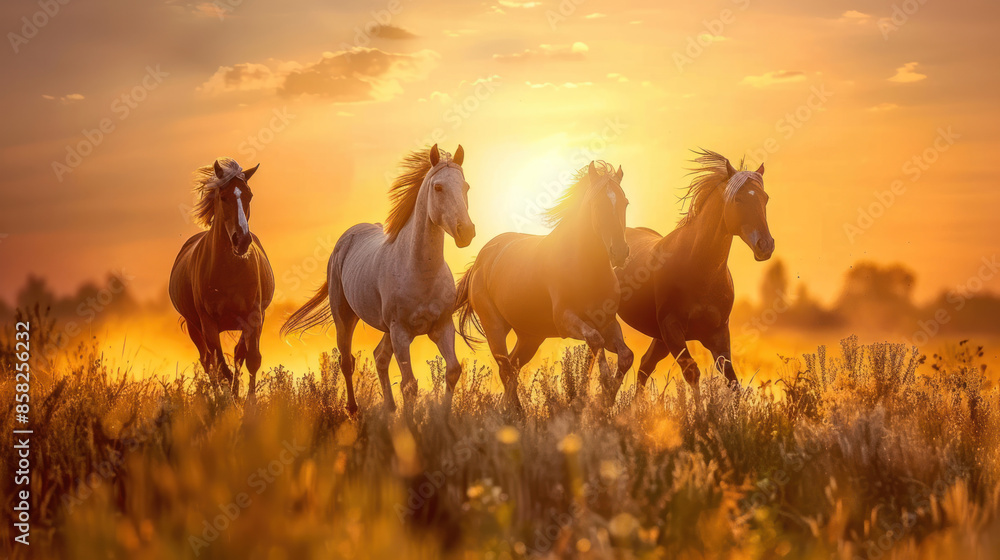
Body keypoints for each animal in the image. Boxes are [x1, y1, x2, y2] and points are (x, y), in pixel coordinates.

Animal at [169, 157, 275, 398]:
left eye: (249, 195)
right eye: (223, 196)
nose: (242, 240)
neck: (229, 270)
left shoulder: (254, 316)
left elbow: (250, 359)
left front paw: (248, 402)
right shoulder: (208, 323)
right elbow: (220, 366)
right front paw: (228, 400)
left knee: (235, 355)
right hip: (194, 327)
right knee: (208, 362)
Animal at [280, 145, 475, 413]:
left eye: (466, 187)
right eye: (438, 187)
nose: (466, 232)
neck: (421, 271)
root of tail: (348, 236)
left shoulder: (442, 327)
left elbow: (453, 370)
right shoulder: (400, 332)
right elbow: (409, 384)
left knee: (379, 358)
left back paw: (390, 408)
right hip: (345, 317)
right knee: (347, 360)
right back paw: (353, 410)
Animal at [455, 161, 634, 411]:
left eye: (625, 203)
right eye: (596, 204)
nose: (619, 252)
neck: (587, 269)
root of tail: (481, 259)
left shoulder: (607, 323)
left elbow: (626, 356)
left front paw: (604, 401)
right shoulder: (566, 321)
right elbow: (595, 342)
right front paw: (597, 391)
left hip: (530, 337)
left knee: (513, 367)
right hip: (495, 327)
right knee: (505, 369)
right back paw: (515, 413)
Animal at [615, 149, 774, 396]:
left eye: (764, 198)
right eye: (737, 199)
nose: (765, 245)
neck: (700, 269)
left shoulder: (717, 335)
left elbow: (732, 380)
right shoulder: (672, 330)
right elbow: (692, 372)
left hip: (659, 339)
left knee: (643, 366)